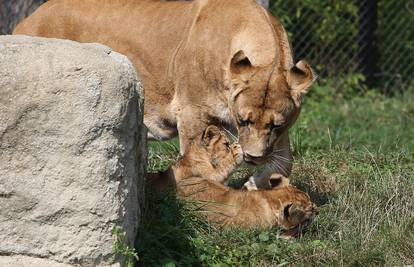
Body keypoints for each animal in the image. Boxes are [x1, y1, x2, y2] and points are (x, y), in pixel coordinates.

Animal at [13, 0, 316, 191]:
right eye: (243, 121)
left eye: (274, 125)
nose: (252, 157)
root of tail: (26, 20)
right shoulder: (191, 112)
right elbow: (195, 159)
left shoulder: (278, 134)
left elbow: (284, 163)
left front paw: (254, 187)